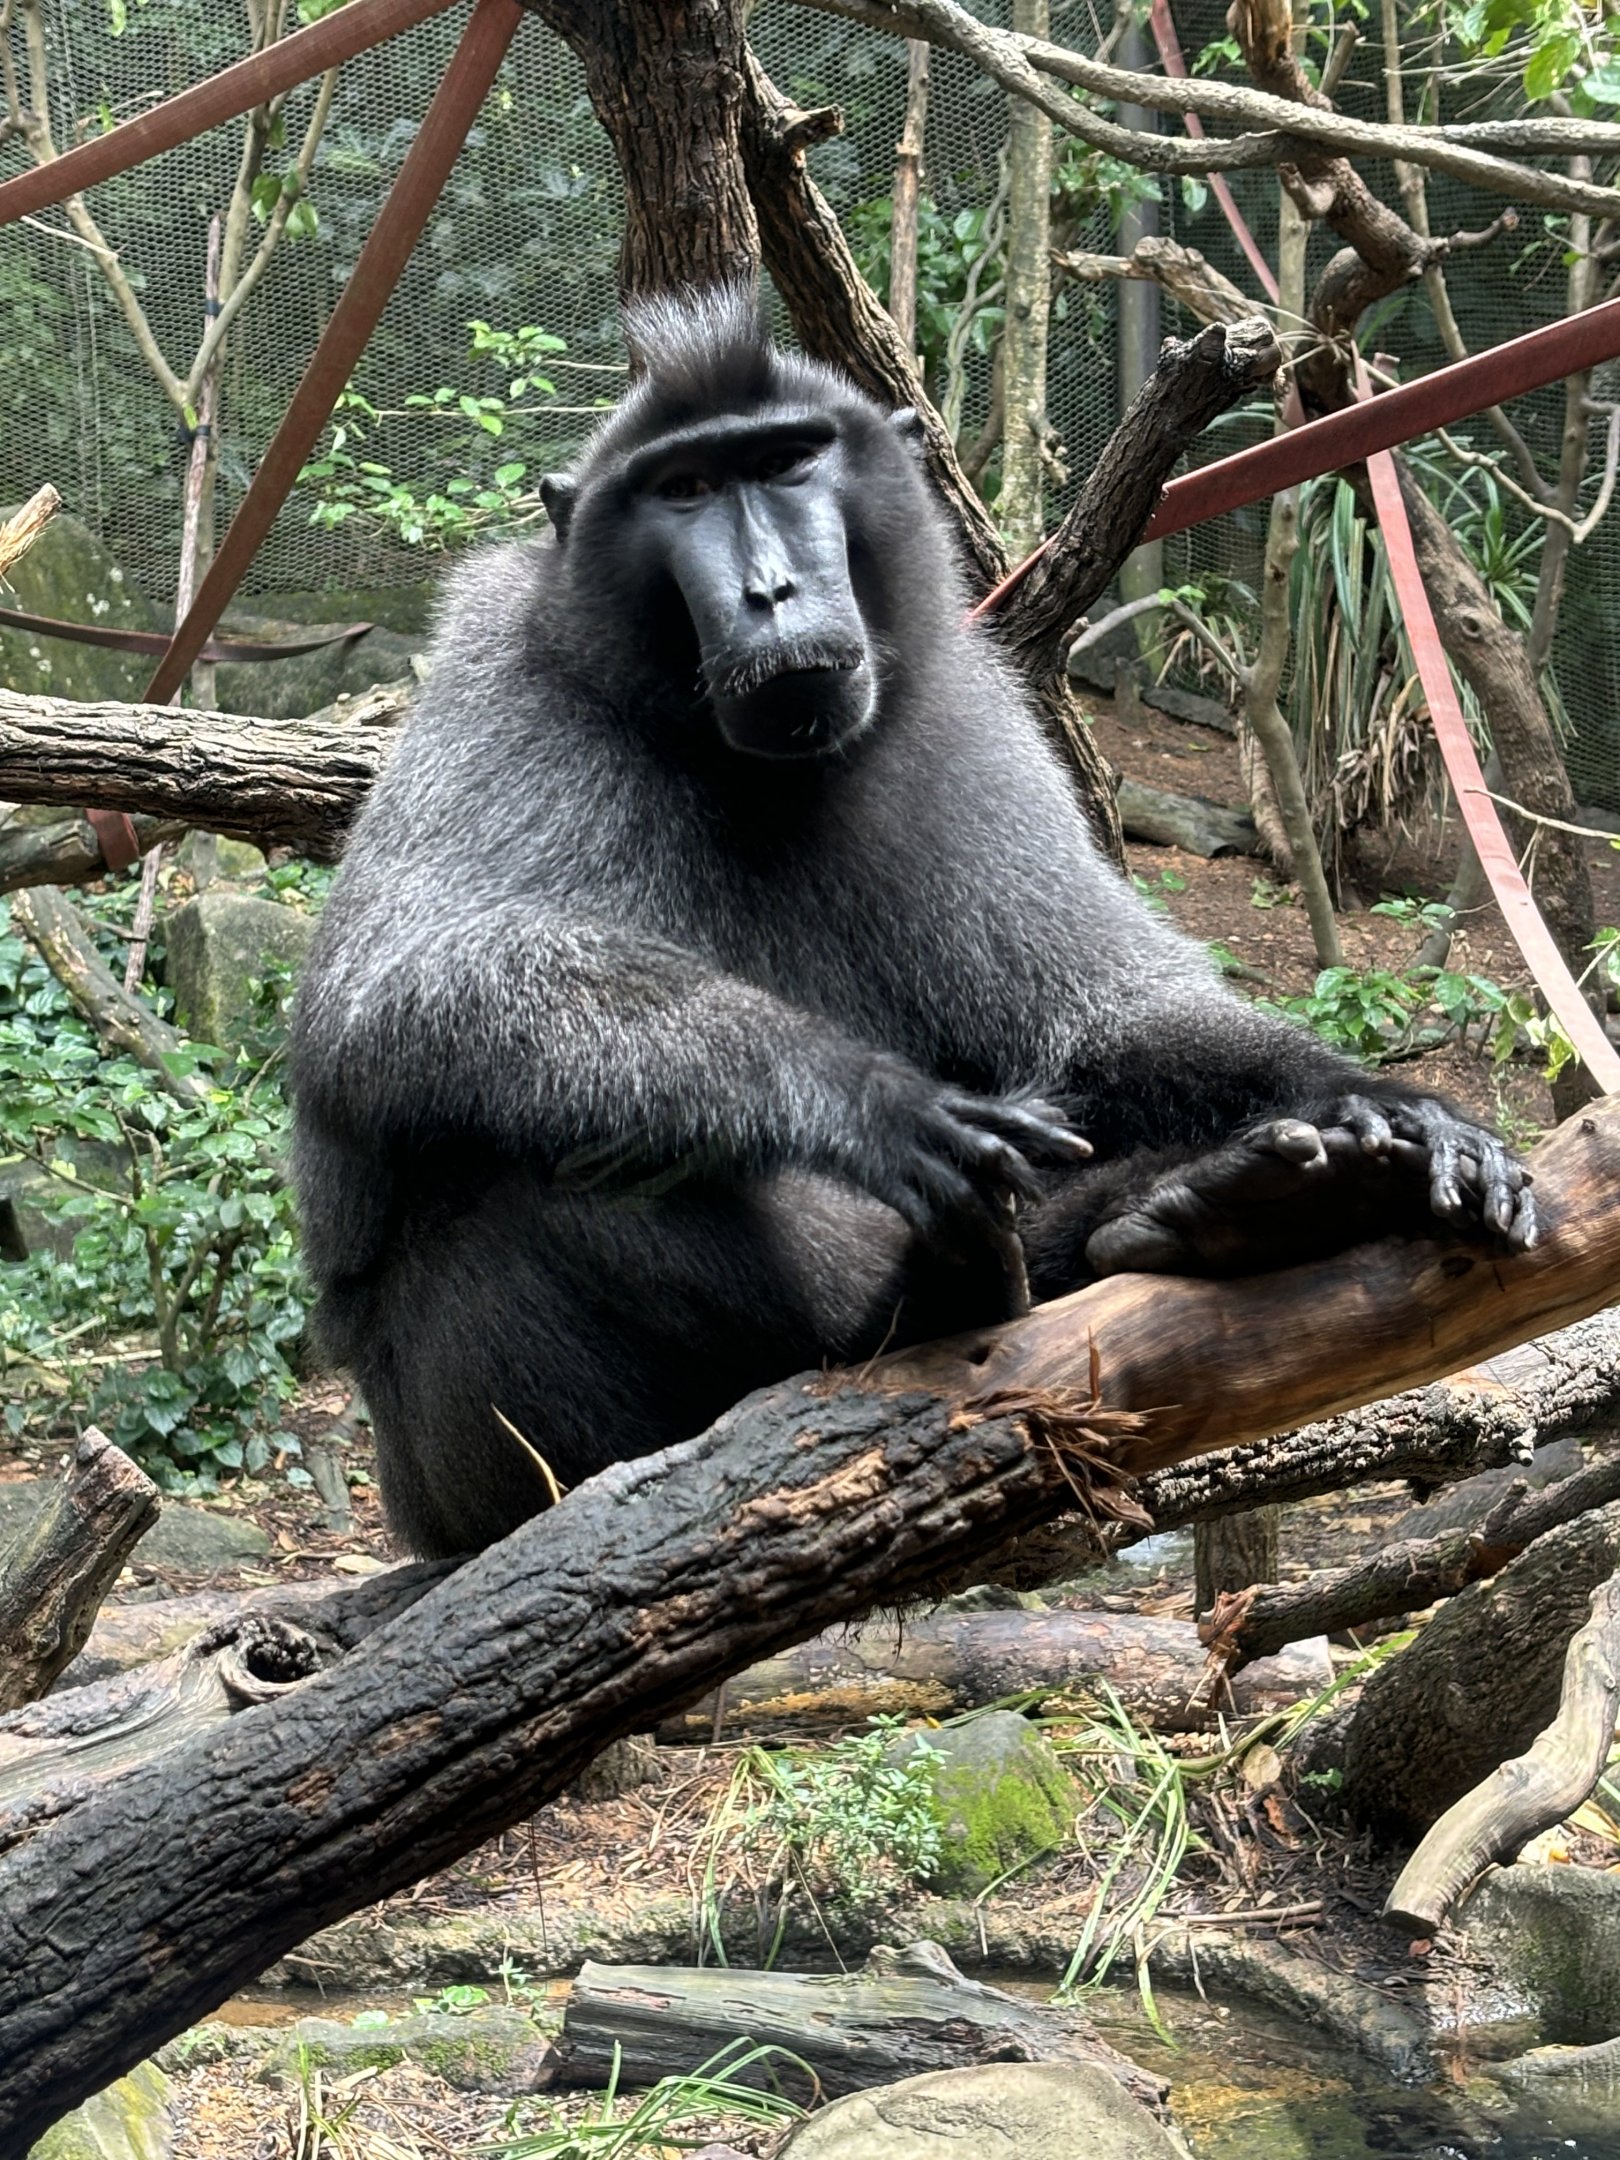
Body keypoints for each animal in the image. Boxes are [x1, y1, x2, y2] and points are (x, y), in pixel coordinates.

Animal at [290, 287, 1534, 1560]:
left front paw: (1382, 1104)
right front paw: (874, 1104)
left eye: (787, 463)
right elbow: (387, 995)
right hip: (455, 1466)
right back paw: (935, 1297)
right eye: (683, 489)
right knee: (522, 1154)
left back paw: (1207, 1211)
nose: (772, 591)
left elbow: (1104, 1020)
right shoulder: (504, 673)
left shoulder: (961, 701)